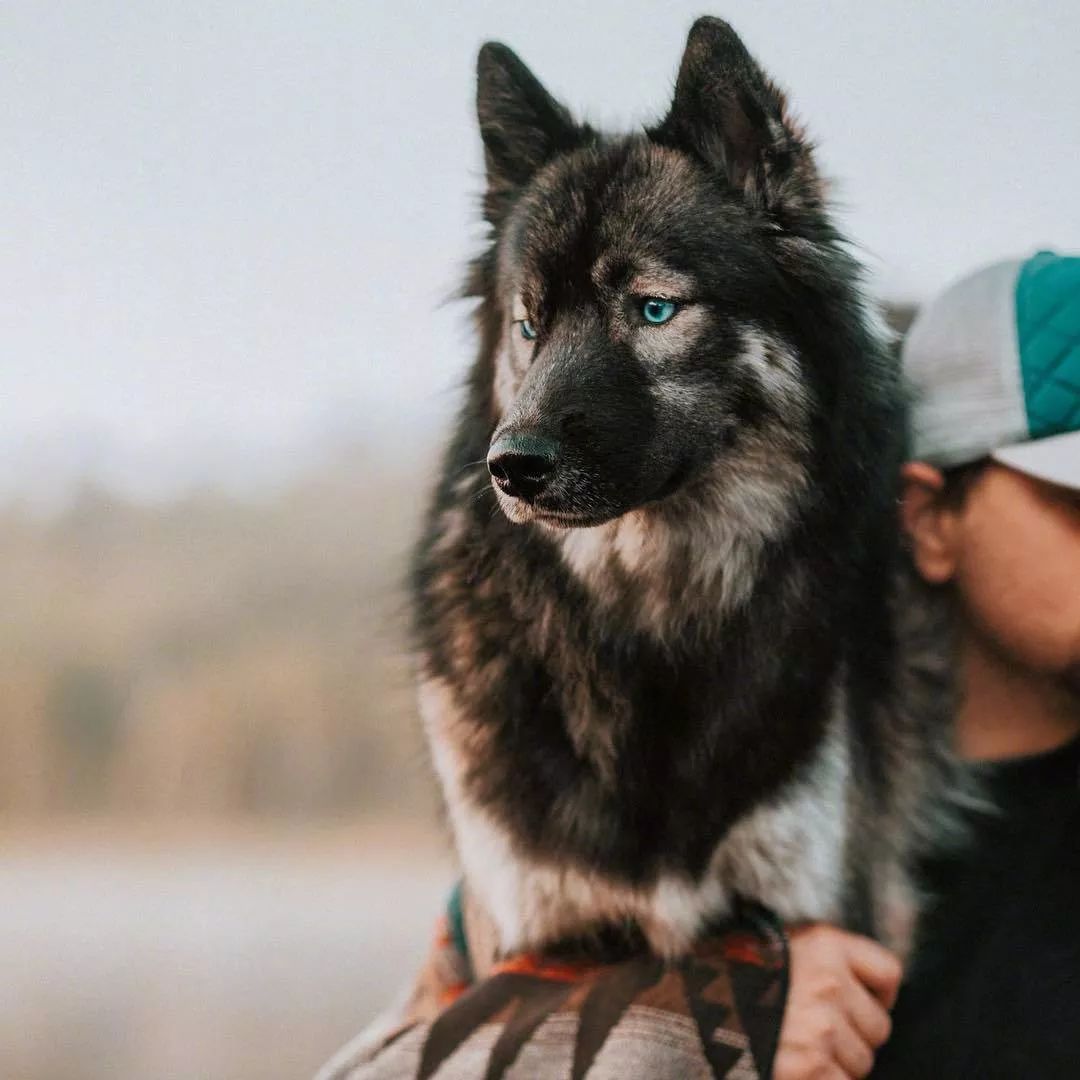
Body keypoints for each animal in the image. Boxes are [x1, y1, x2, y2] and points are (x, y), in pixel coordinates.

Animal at [408, 14, 959, 963]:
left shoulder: (816, 911)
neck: (647, 612)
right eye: (529, 323)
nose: (511, 465)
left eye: (654, 309)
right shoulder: (530, 931)